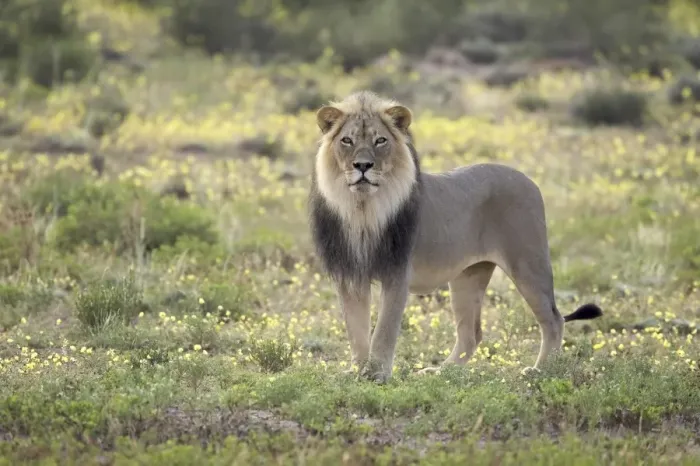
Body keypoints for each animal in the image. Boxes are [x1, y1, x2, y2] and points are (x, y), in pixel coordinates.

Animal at [308, 90, 602, 383]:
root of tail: (529, 180)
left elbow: (384, 329)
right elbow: (356, 329)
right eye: (347, 140)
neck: (363, 209)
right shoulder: (350, 275)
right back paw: (441, 372)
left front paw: (378, 373)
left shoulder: (397, 273)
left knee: (553, 319)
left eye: (380, 140)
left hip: (528, 264)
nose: (363, 165)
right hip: (468, 276)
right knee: (471, 334)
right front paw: (356, 371)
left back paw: (541, 370)